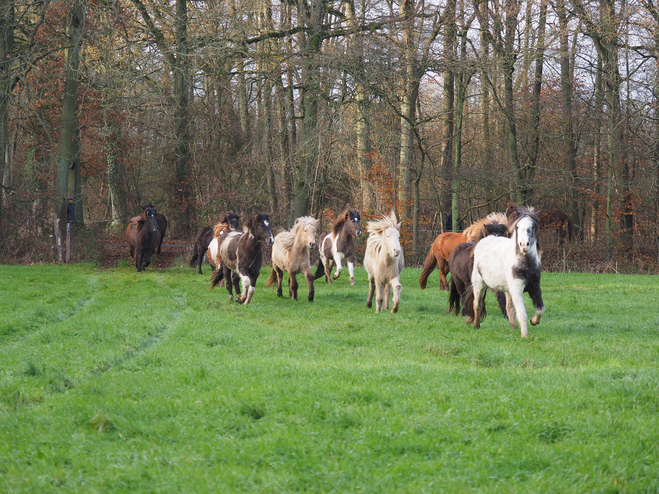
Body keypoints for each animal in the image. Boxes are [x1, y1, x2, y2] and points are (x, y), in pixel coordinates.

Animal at [474, 206, 548, 338]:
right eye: (517, 227)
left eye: (532, 226)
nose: (524, 245)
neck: (525, 264)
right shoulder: (517, 290)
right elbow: (522, 313)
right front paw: (524, 335)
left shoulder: (535, 287)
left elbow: (540, 309)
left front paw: (533, 321)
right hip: (479, 284)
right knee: (477, 304)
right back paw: (476, 326)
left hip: (507, 290)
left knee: (509, 308)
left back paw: (514, 327)